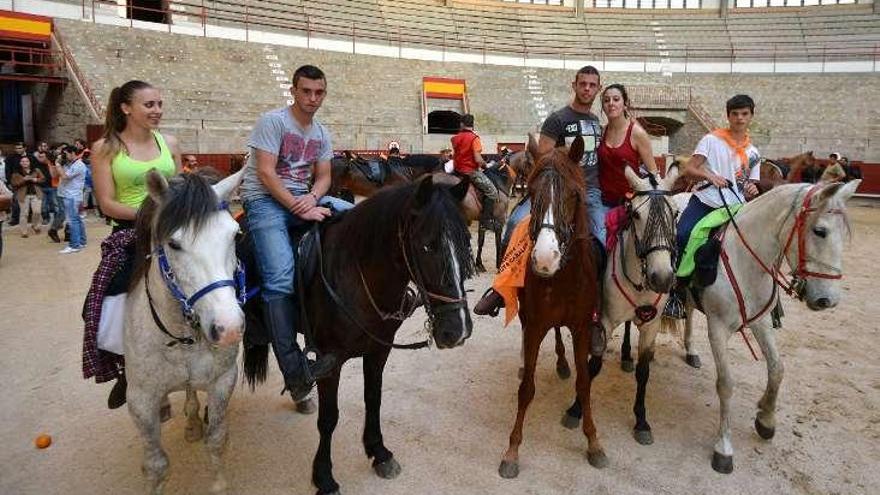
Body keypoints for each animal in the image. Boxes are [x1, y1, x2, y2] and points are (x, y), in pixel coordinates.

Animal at [124, 169, 244, 494]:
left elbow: (216, 440)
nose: (228, 328)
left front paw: (219, 484)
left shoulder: (222, 380)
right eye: (175, 244)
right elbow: (156, 465)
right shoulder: (140, 401)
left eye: (236, 235)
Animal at [498, 137, 608, 480]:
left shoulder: (582, 327)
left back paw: (561, 362)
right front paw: (512, 450)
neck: (561, 277)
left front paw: (593, 442)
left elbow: (584, 384)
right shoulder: (534, 325)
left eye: (574, 194)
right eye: (533, 194)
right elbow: (526, 389)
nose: (545, 258)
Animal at [672, 180, 860, 474]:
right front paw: (723, 448)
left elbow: (777, 369)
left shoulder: (760, 322)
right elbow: (726, 384)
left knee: (690, 311)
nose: (827, 300)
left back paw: (691, 351)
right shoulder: (718, 328)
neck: (745, 260)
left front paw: (766, 418)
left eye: (845, 234)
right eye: (820, 231)